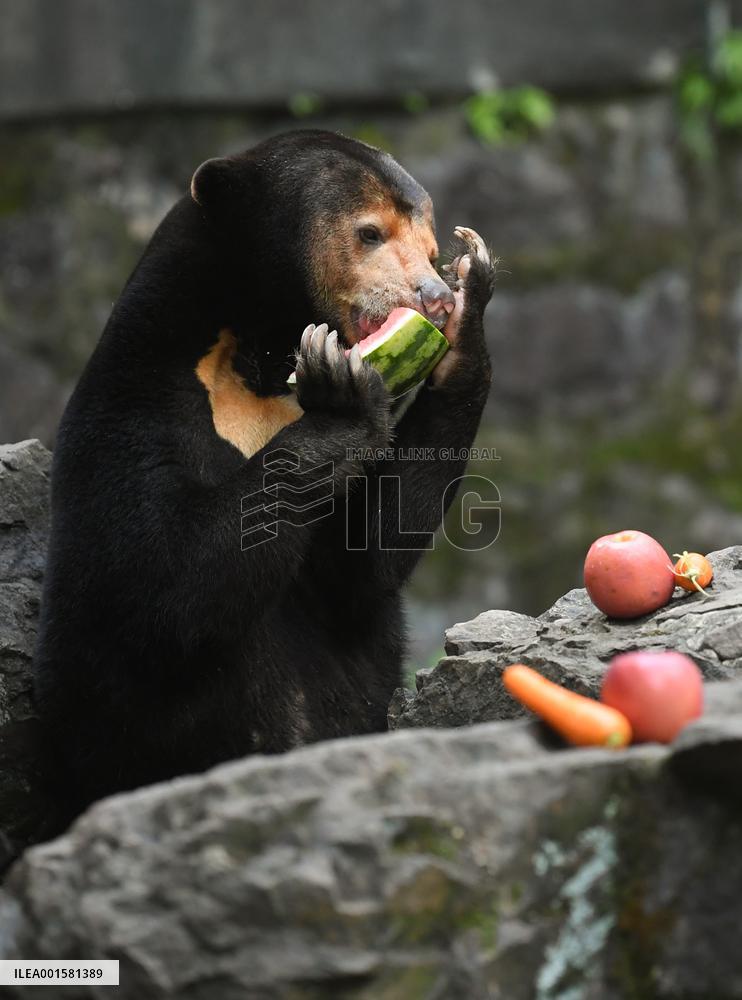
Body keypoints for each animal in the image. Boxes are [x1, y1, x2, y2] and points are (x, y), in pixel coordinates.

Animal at [34, 129, 495, 820]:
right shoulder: (134, 406)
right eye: (369, 233)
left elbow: (362, 561)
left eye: (433, 249)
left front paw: (468, 312)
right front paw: (344, 397)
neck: (259, 359)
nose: (432, 298)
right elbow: (162, 581)